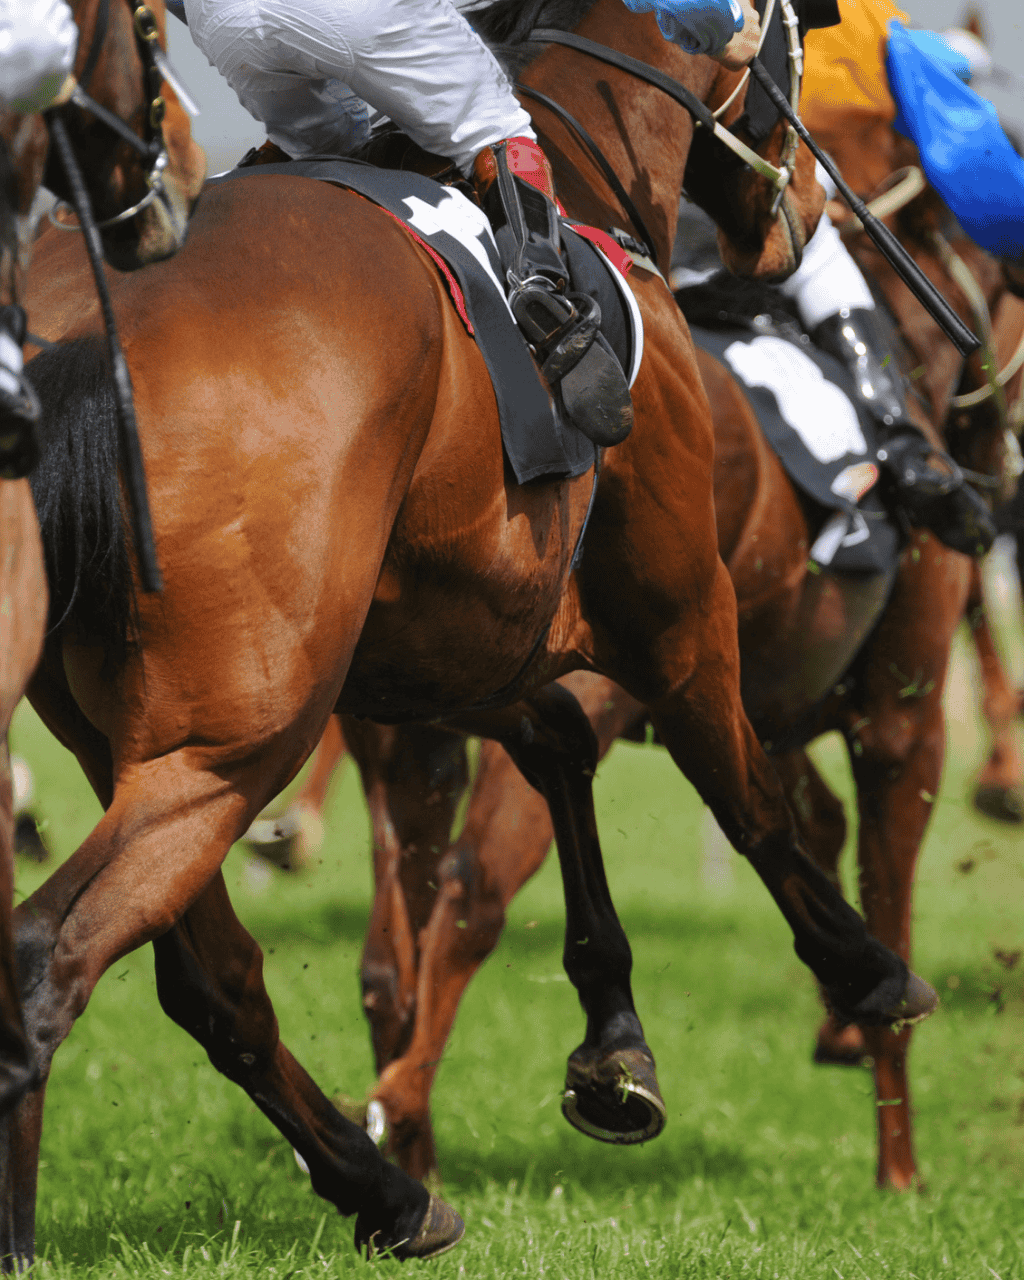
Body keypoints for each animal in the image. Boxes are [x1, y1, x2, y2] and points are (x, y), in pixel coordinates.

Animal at [14, 0, 934, 1262]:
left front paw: (613, 1048)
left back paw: (388, 1191)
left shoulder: (444, 643)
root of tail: (77, 342)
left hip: (128, 735)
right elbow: (746, 794)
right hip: (234, 740)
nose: (795, 213)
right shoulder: (676, 606)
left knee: (211, 979)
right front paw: (866, 969)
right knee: (49, 955)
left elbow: (557, 750)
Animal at [256, 137, 1018, 1189]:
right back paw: (421, 1100)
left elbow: (804, 828)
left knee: (392, 942)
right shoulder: (897, 720)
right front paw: (897, 1161)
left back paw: (414, 1134)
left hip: (413, 716)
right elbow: (881, 897)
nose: (995, 477)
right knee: (474, 887)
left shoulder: (751, 707)